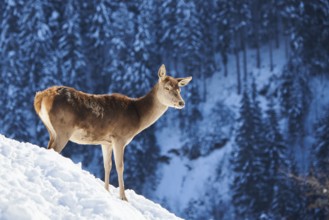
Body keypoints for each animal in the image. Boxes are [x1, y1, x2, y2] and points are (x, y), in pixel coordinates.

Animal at [33, 64, 191, 201]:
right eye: (167, 87)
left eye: (179, 89)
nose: (182, 103)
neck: (138, 117)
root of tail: (41, 97)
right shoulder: (119, 137)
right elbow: (120, 166)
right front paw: (124, 198)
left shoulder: (106, 142)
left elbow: (107, 165)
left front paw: (107, 191)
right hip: (63, 129)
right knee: (53, 149)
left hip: (51, 130)